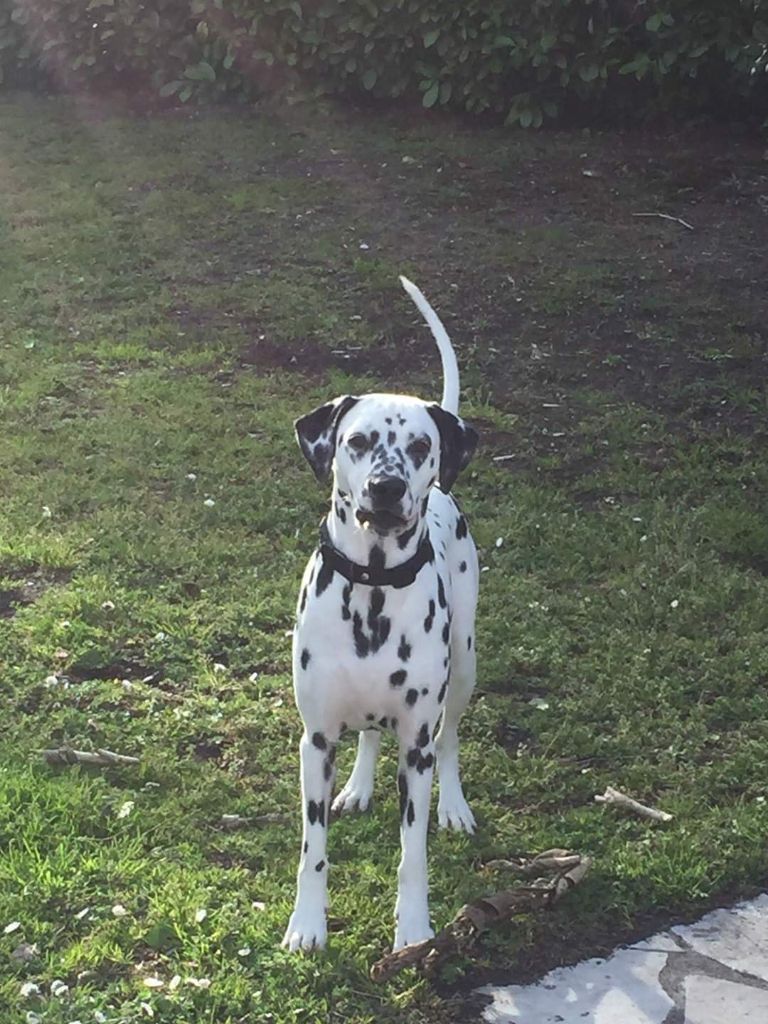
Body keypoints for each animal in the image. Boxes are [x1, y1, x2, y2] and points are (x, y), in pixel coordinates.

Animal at [282, 277, 479, 953]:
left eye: (419, 445)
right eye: (358, 440)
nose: (386, 489)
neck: (371, 586)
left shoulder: (415, 745)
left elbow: (411, 852)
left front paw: (415, 930)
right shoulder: (315, 740)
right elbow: (312, 849)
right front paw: (307, 926)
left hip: (464, 667)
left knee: (451, 739)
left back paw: (454, 806)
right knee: (368, 733)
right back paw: (359, 786)